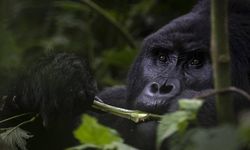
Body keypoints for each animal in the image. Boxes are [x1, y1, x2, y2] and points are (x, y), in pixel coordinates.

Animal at [0, 0, 250, 149]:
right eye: (162, 57)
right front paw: (54, 78)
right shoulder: (113, 99)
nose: (161, 87)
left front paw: (201, 109)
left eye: (196, 62)